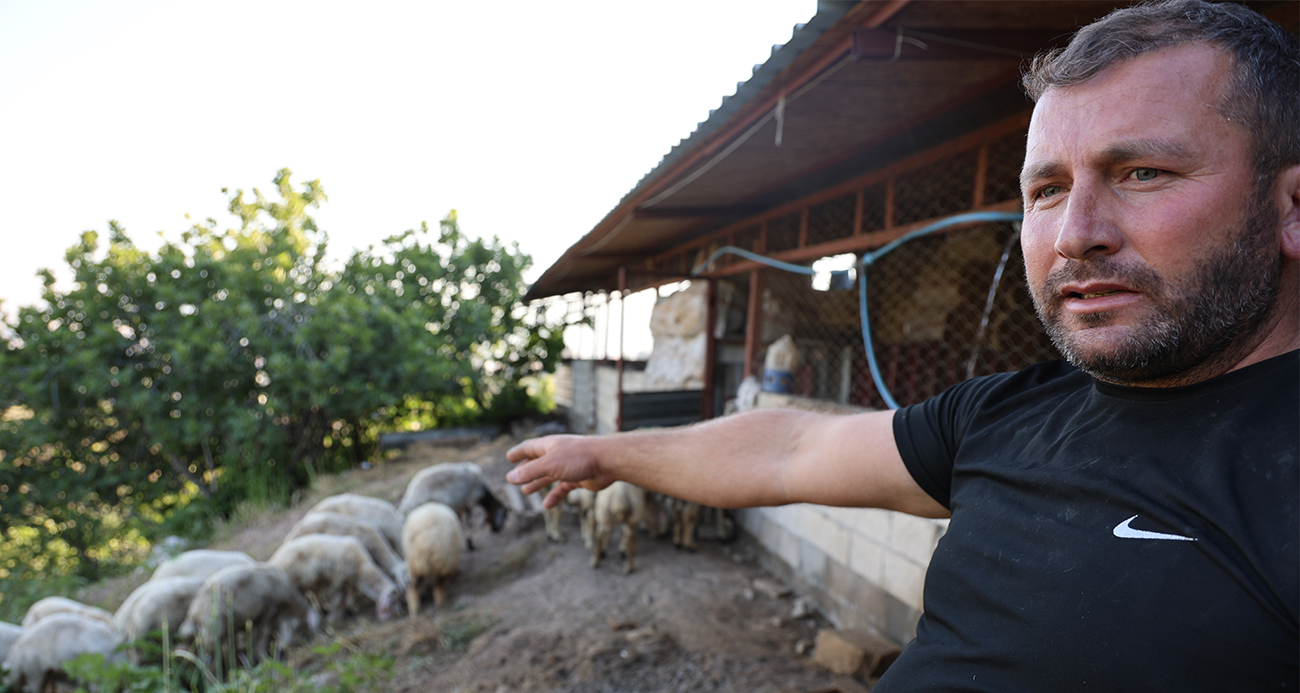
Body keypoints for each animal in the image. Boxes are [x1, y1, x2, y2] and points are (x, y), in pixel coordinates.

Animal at [175, 561, 317, 670]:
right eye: (303, 628)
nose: (300, 643)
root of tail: (192, 616)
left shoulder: (251, 619)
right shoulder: (268, 610)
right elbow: (263, 635)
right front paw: (264, 659)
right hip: (213, 630)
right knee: (210, 660)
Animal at [269, 533, 400, 624]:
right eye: (393, 602)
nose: (398, 614)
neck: (362, 568)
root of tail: (273, 561)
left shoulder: (350, 581)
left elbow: (351, 595)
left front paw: (352, 607)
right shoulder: (339, 579)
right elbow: (338, 599)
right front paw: (334, 618)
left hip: (312, 581)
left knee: (316, 595)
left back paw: (323, 608)